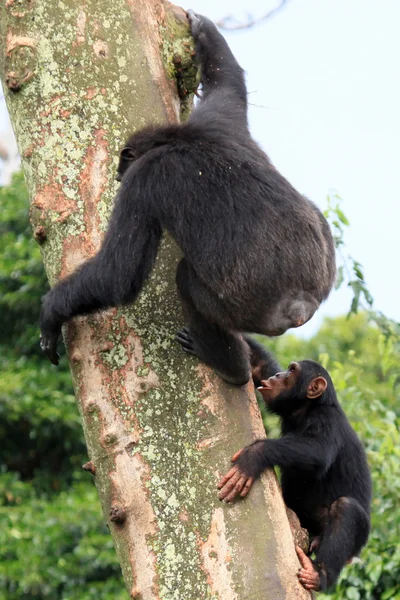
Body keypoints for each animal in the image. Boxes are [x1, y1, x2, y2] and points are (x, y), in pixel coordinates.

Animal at [40, 9, 336, 384]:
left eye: (125, 165)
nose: (118, 174)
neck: (178, 139)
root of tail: (298, 305)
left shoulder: (142, 182)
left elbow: (118, 273)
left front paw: (51, 311)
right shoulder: (218, 117)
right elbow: (227, 82)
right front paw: (202, 27)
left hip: (246, 310)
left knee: (184, 281)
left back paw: (231, 366)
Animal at [219, 338, 372, 592]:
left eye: (292, 371)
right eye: (285, 369)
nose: (279, 375)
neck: (306, 409)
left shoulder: (326, 421)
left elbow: (317, 452)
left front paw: (253, 456)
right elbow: (258, 365)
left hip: (354, 538)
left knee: (346, 509)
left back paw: (320, 574)